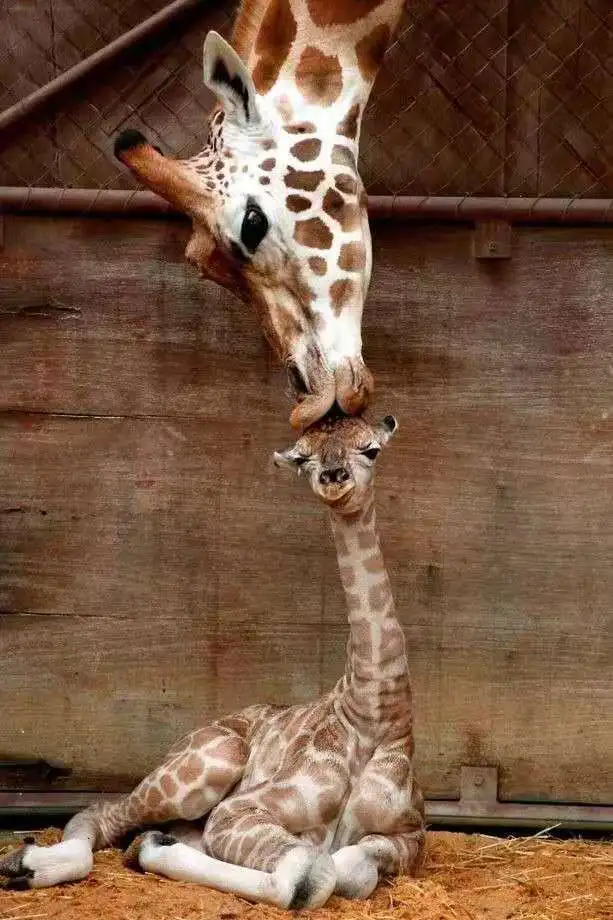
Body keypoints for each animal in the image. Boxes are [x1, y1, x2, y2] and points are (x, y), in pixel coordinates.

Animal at [0, 411, 425, 908]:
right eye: (303, 458)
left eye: (370, 449)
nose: (333, 477)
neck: (374, 712)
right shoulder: (238, 809)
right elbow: (312, 875)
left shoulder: (412, 835)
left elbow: (351, 869)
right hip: (210, 762)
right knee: (101, 814)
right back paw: (24, 862)